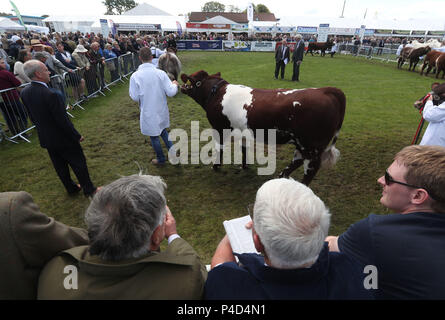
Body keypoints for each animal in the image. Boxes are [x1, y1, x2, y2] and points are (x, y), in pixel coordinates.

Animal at [179, 70, 346, 185]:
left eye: (193, 80)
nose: (182, 80)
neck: (217, 93)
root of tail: (325, 90)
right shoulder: (242, 130)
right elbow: (244, 148)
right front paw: (244, 166)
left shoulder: (219, 128)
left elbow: (219, 148)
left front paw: (216, 166)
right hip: (303, 144)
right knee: (298, 159)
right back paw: (282, 176)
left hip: (312, 146)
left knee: (310, 168)